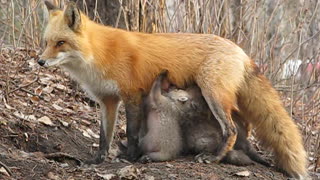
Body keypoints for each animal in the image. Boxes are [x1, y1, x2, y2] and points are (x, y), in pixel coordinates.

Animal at [38, 1, 306, 179]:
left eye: (61, 43)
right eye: (47, 42)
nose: (40, 61)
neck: (98, 54)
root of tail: (241, 51)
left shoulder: (132, 95)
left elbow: (131, 132)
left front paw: (130, 157)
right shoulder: (108, 101)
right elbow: (105, 136)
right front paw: (96, 160)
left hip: (212, 94)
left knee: (230, 129)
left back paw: (214, 157)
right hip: (223, 99)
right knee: (243, 126)